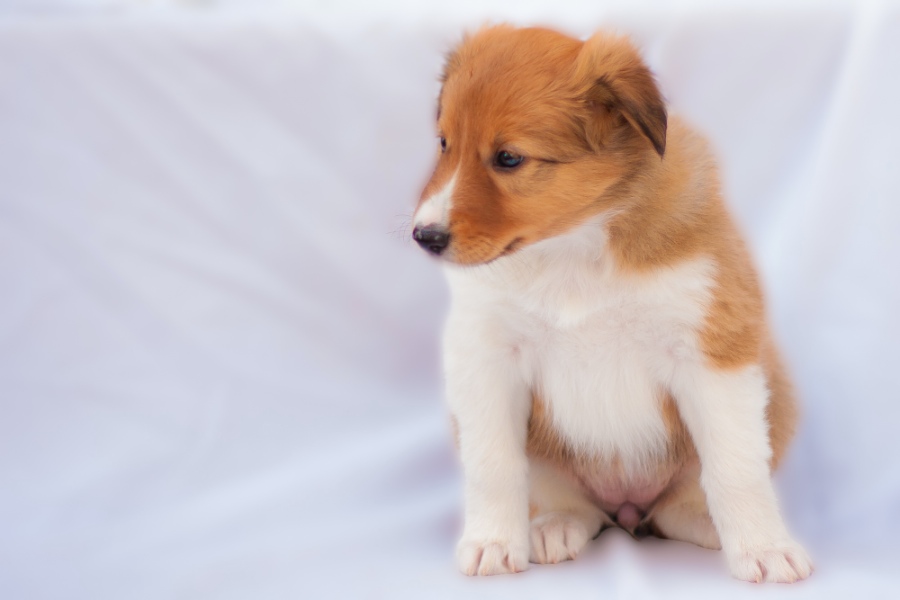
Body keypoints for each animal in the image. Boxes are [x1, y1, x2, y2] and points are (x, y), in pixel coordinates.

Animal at [412, 25, 812, 584]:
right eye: (445, 143)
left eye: (509, 158)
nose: (424, 236)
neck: (574, 247)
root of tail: (625, 508)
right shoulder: (487, 359)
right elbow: (494, 465)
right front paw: (492, 541)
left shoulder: (712, 353)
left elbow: (736, 468)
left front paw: (765, 549)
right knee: (573, 504)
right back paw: (553, 526)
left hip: (776, 397)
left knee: (675, 507)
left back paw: (706, 526)